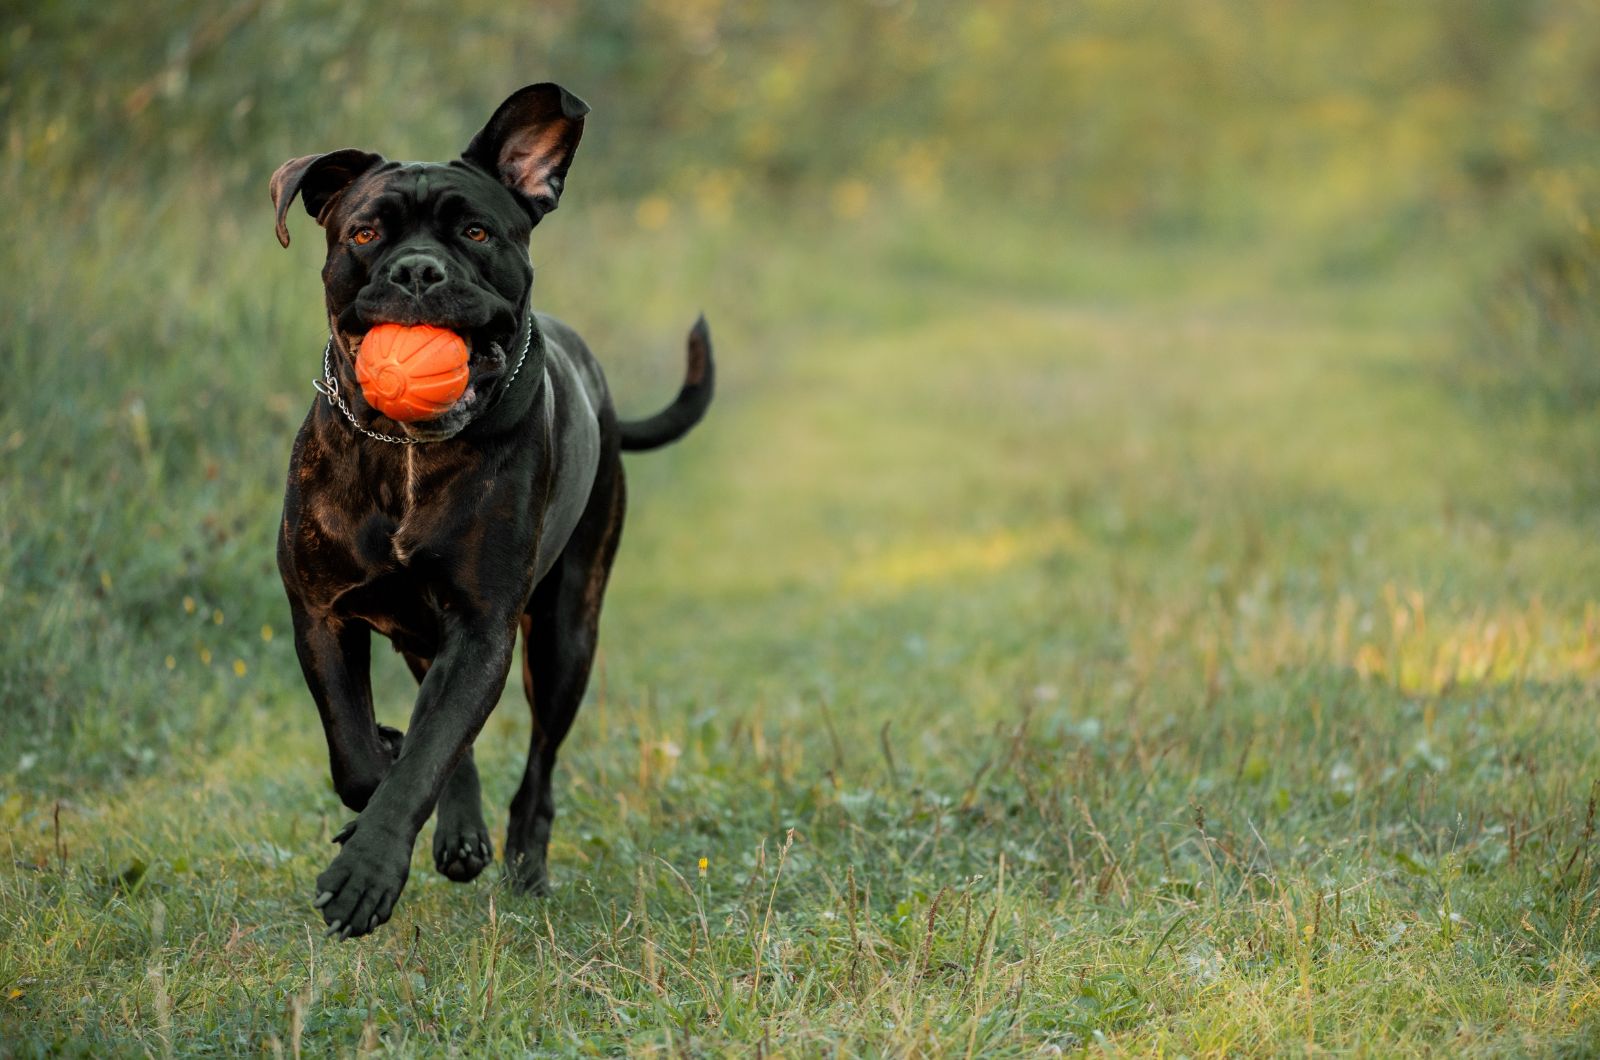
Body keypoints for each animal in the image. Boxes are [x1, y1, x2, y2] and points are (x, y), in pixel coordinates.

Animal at [270, 87, 713, 941]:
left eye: (475, 231)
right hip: (428, 634)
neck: (404, 451)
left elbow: (429, 751)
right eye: (365, 232)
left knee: (537, 766)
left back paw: (523, 864)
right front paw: (381, 770)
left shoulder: (483, 628)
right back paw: (460, 829)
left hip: (566, 635)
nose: (417, 269)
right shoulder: (323, 613)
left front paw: (366, 873)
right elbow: (362, 752)